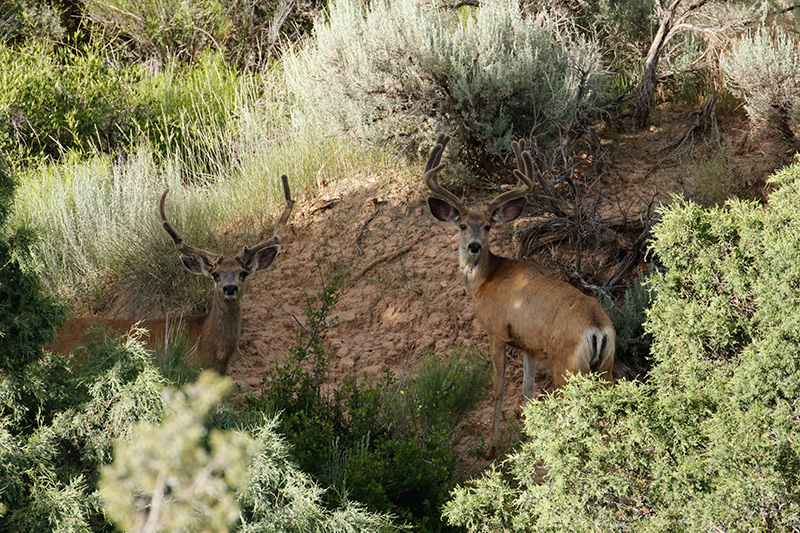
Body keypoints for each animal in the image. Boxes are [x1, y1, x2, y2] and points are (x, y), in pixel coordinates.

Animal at [424, 133, 612, 448]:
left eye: (488, 226)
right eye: (462, 225)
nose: (473, 246)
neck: (486, 281)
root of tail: (599, 329)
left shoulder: (496, 331)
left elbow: (498, 388)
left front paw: (492, 444)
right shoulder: (528, 345)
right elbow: (527, 390)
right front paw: (527, 434)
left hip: (568, 368)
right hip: (606, 366)